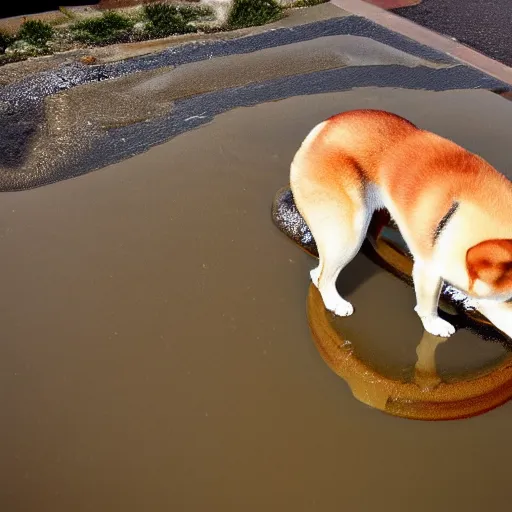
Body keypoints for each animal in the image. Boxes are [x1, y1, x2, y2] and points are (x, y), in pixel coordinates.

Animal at [290, 110, 512, 338]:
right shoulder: (428, 271)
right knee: (324, 276)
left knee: (317, 272)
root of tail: (322, 129)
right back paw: (335, 303)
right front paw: (435, 325)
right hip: (348, 237)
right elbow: (427, 307)